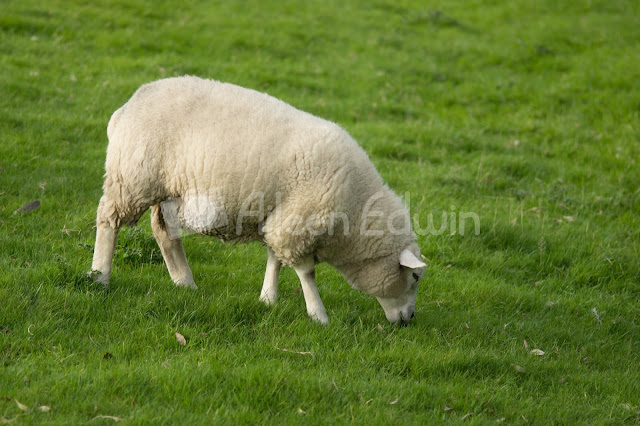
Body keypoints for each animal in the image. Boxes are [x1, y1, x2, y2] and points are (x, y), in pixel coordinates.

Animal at [91, 75, 424, 322]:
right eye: (416, 278)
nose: (409, 319)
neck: (355, 211)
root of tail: (126, 108)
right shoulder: (297, 223)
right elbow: (307, 271)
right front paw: (318, 315)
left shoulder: (281, 218)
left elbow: (274, 258)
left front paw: (268, 299)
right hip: (132, 178)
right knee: (109, 220)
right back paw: (100, 276)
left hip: (167, 189)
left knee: (164, 232)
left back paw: (184, 282)